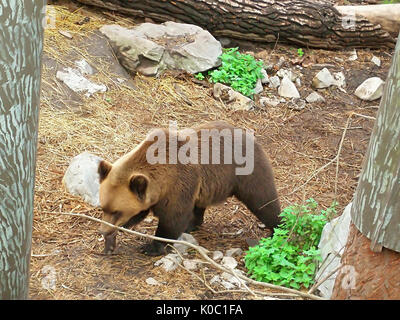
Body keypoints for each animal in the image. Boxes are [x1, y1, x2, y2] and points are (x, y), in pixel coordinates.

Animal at [98, 121, 280, 256]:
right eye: (103, 208)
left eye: (117, 211)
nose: (102, 231)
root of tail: (249, 136)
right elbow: (140, 212)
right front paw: (111, 242)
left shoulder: (178, 185)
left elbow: (172, 219)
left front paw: (151, 247)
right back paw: (192, 224)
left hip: (246, 172)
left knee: (264, 200)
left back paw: (276, 230)